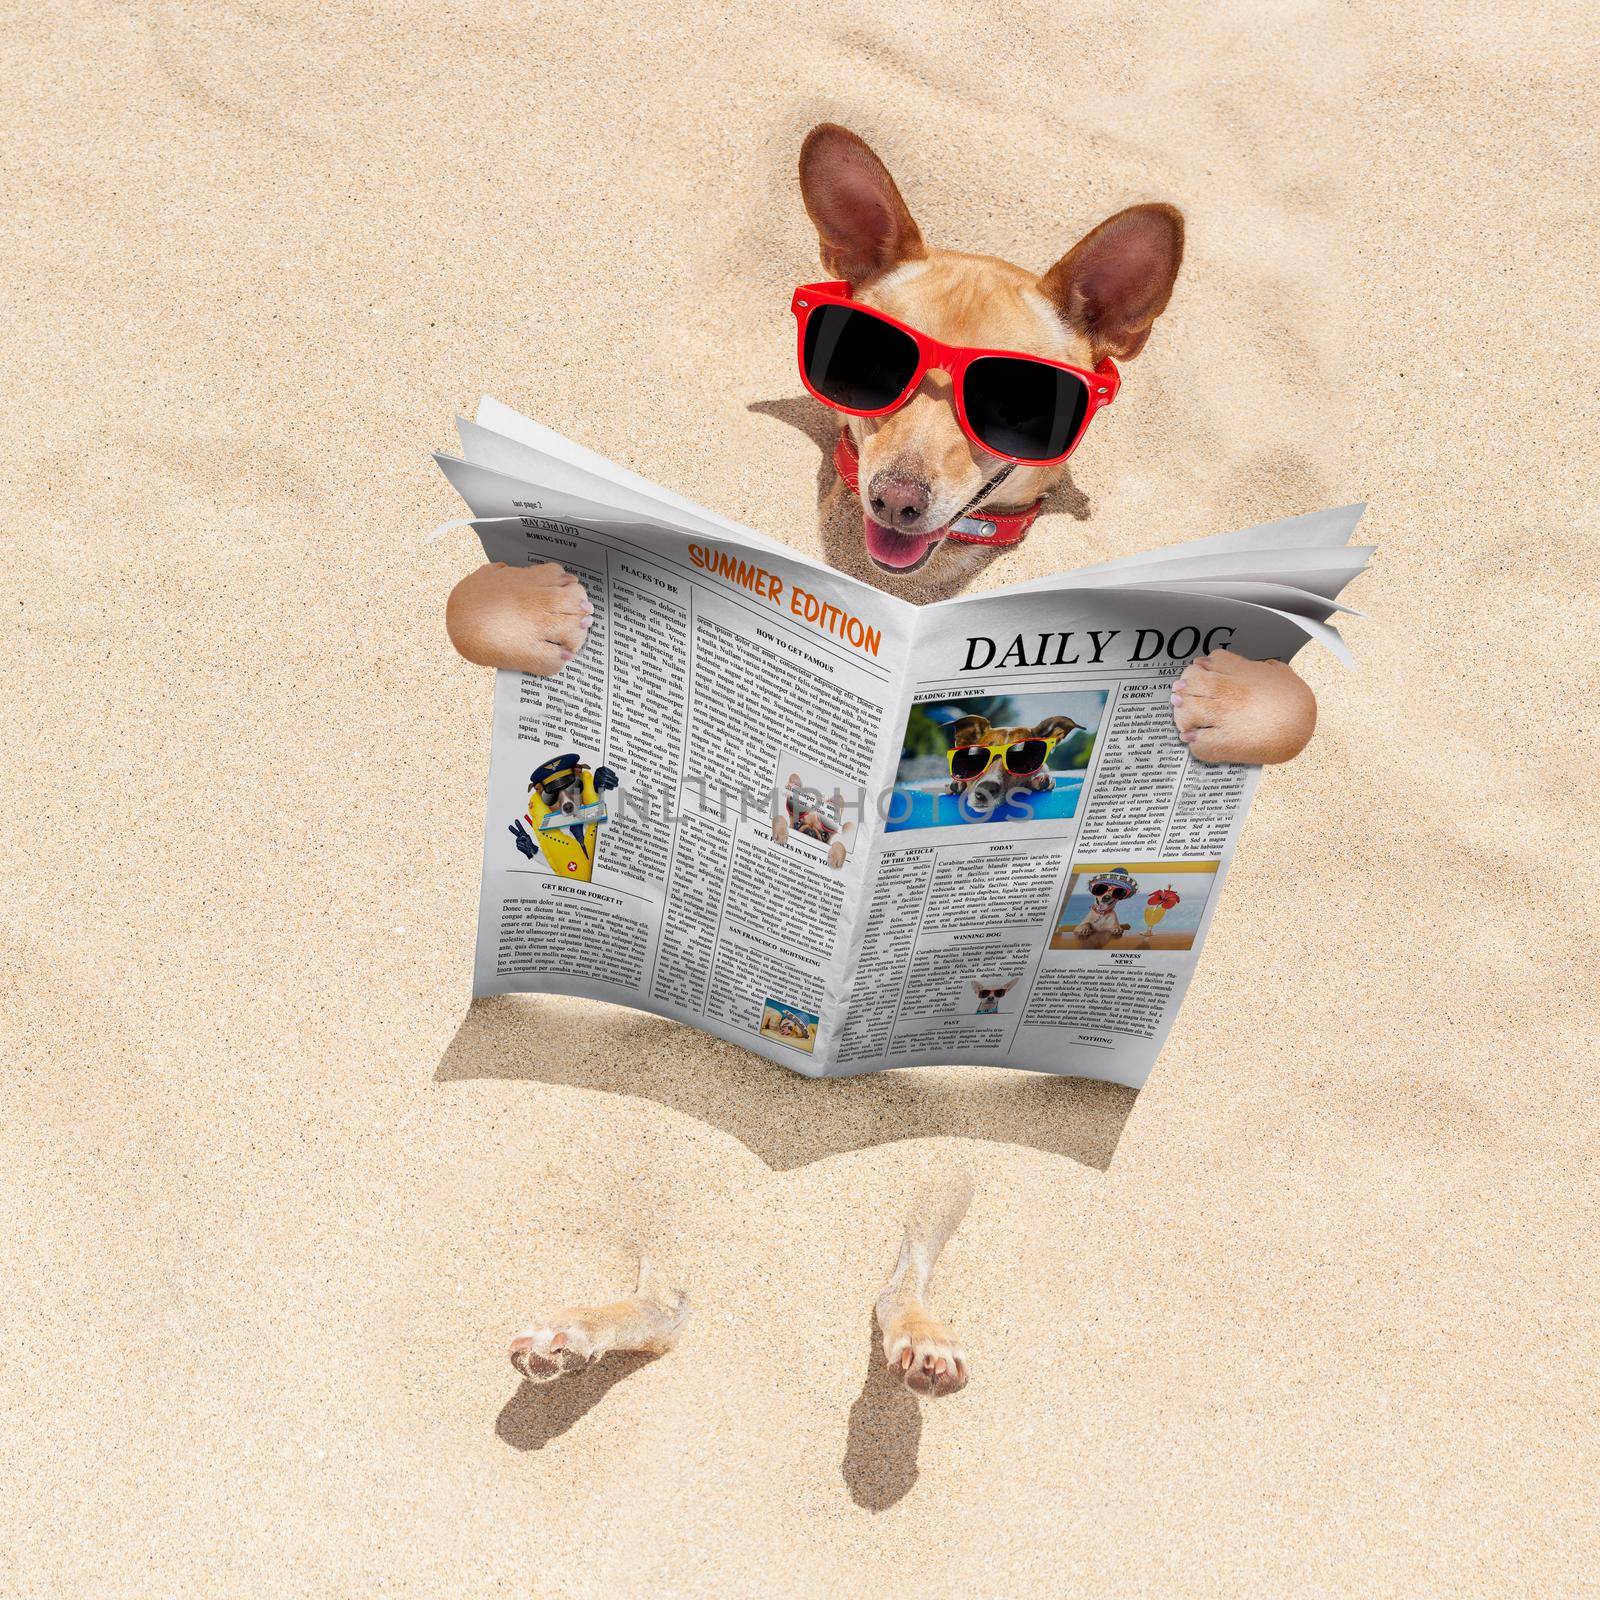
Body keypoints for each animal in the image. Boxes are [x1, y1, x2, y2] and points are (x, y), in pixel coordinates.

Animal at [444, 124, 1318, 1401]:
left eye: (1012, 405)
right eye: (876, 368)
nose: (899, 497)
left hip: (933, 1168)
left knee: (889, 1274)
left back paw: (915, 1340)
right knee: (671, 1297)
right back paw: (583, 1330)